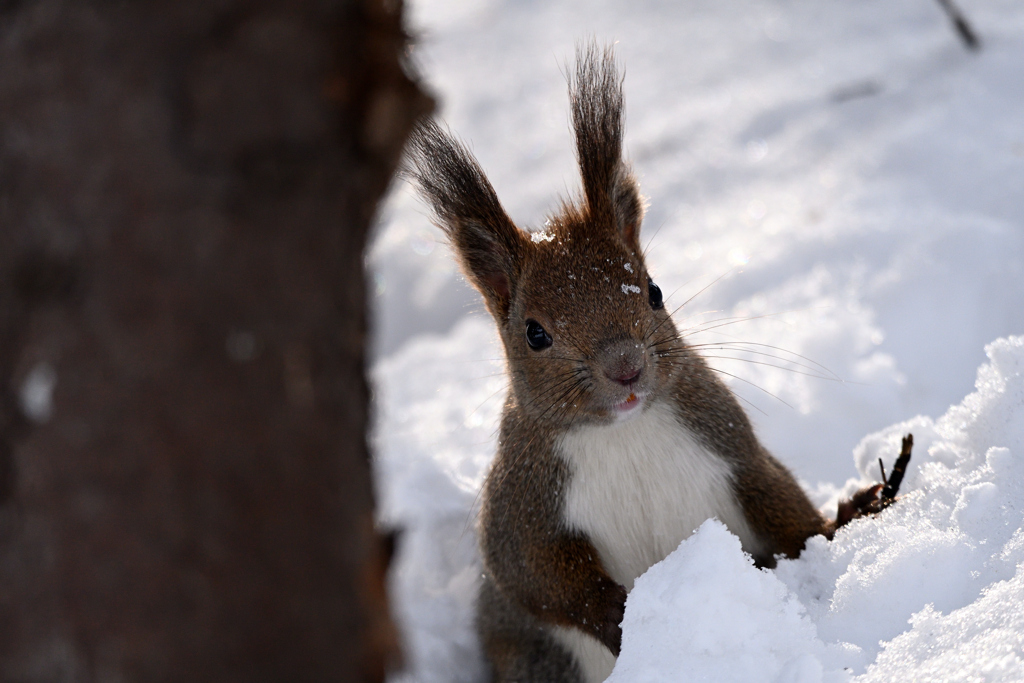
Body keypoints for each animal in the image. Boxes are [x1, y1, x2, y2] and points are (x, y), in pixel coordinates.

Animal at [409, 41, 864, 683]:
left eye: (654, 291)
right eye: (534, 334)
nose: (625, 368)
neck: (624, 434)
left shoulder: (732, 447)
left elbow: (784, 509)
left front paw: (843, 524)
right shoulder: (523, 505)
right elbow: (536, 576)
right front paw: (626, 621)